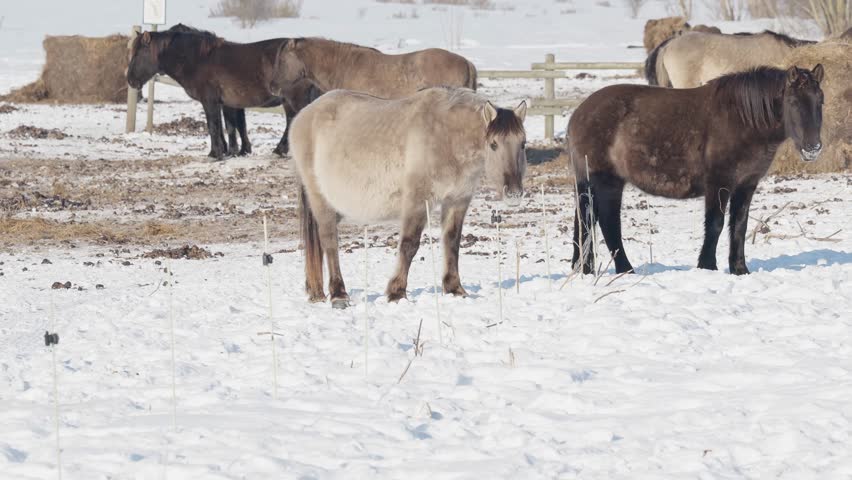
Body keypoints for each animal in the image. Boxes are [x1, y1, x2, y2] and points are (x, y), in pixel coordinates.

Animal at [126, 27, 318, 159]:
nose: (130, 80)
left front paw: (215, 153)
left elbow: (213, 126)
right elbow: (230, 127)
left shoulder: (209, 101)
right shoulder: (224, 103)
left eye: (137, 55)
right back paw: (281, 150)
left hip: (294, 99)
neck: (198, 59)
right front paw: (231, 152)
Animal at [290, 87, 527, 308]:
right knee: (329, 241)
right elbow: (409, 244)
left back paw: (317, 292)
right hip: (320, 200)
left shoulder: (457, 199)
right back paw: (339, 294)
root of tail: (303, 115)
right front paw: (396, 292)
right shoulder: (418, 200)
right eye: (493, 144)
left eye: (522, 143)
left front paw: (454, 289)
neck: (447, 135)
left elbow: (452, 241)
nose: (514, 194)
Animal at [569, 65, 824, 276]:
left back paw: (586, 269)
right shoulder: (719, 183)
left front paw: (740, 269)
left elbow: (739, 226)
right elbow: (716, 224)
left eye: (820, 100)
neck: (743, 120)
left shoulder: (746, 184)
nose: (813, 148)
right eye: (793, 102)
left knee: (586, 221)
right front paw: (707, 266)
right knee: (608, 223)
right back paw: (625, 270)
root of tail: (578, 114)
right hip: (608, 182)